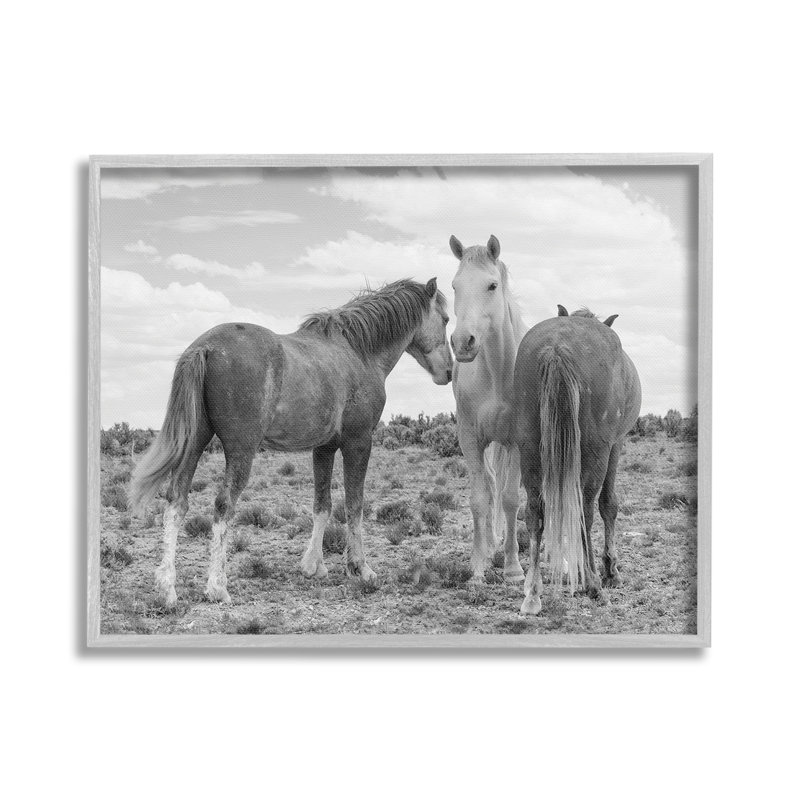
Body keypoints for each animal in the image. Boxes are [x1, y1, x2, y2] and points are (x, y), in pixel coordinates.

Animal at [129, 278, 453, 608]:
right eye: (445, 319)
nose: (449, 372)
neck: (359, 353)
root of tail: (204, 347)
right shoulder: (359, 442)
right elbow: (355, 505)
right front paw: (360, 568)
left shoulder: (324, 448)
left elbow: (322, 505)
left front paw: (313, 565)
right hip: (240, 451)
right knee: (223, 506)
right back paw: (217, 587)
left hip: (195, 443)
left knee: (177, 502)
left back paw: (167, 589)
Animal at [513, 307, 641, 615]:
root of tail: (557, 347)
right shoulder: (615, 445)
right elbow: (609, 505)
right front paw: (611, 572)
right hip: (597, 452)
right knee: (586, 510)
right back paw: (594, 584)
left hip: (530, 449)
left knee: (535, 513)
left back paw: (532, 593)